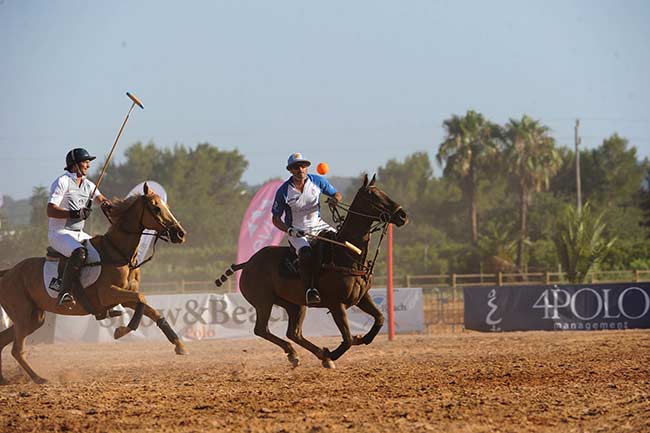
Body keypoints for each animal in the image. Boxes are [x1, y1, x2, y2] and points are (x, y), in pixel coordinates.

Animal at [0, 182, 187, 382]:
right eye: (156, 207)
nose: (180, 234)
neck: (118, 253)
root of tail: (8, 273)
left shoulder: (123, 297)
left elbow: (150, 309)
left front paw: (179, 345)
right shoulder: (108, 293)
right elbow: (141, 298)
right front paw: (121, 331)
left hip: (34, 317)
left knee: (5, 340)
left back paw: (5, 378)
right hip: (23, 315)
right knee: (17, 350)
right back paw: (39, 378)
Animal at [214, 175, 404, 368]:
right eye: (374, 196)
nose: (402, 215)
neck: (347, 254)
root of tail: (247, 263)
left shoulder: (362, 297)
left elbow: (379, 318)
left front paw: (363, 338)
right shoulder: (336, 304)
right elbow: (348, 339)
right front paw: (334, 353)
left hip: (294, 304)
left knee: (293, 332)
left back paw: (312, 354)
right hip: (263, 301)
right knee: (262, 329)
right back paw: (305, 354)